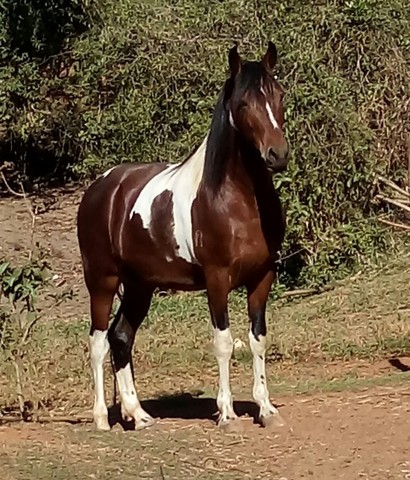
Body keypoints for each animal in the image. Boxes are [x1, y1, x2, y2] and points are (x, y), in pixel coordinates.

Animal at [77, 42, 288, 432]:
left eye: (279, 95)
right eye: (243, 103)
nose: (277, 155)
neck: (234, 199)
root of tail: (100, 187)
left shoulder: (262, 278)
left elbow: (257, 341)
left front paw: (266, 409)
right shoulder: (217, 280)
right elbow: (223, 342)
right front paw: (227, 414)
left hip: (140, 286)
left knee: (121, 337)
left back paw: (138, 415)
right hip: (102, 281)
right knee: (98, 343)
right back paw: (101, 419)